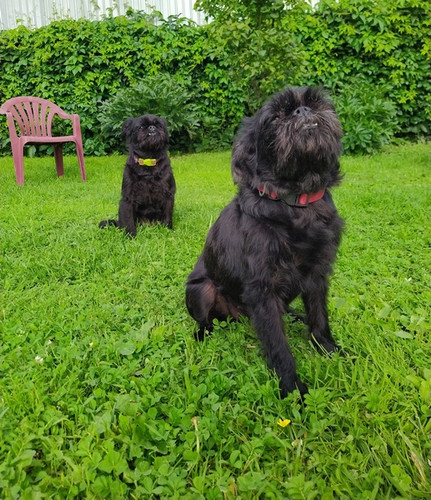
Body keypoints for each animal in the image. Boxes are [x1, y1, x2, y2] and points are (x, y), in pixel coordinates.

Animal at [186, 86, 344, 397]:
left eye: (315, 101)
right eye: (275, 118)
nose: (302, 111)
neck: (295, 203)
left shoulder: (318, 275)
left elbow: (320, 318)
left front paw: (328, 350)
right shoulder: (262, 289)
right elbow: (278, 345)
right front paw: (292, 388)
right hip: (201, 290)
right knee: (205, 320)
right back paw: (203, 334)